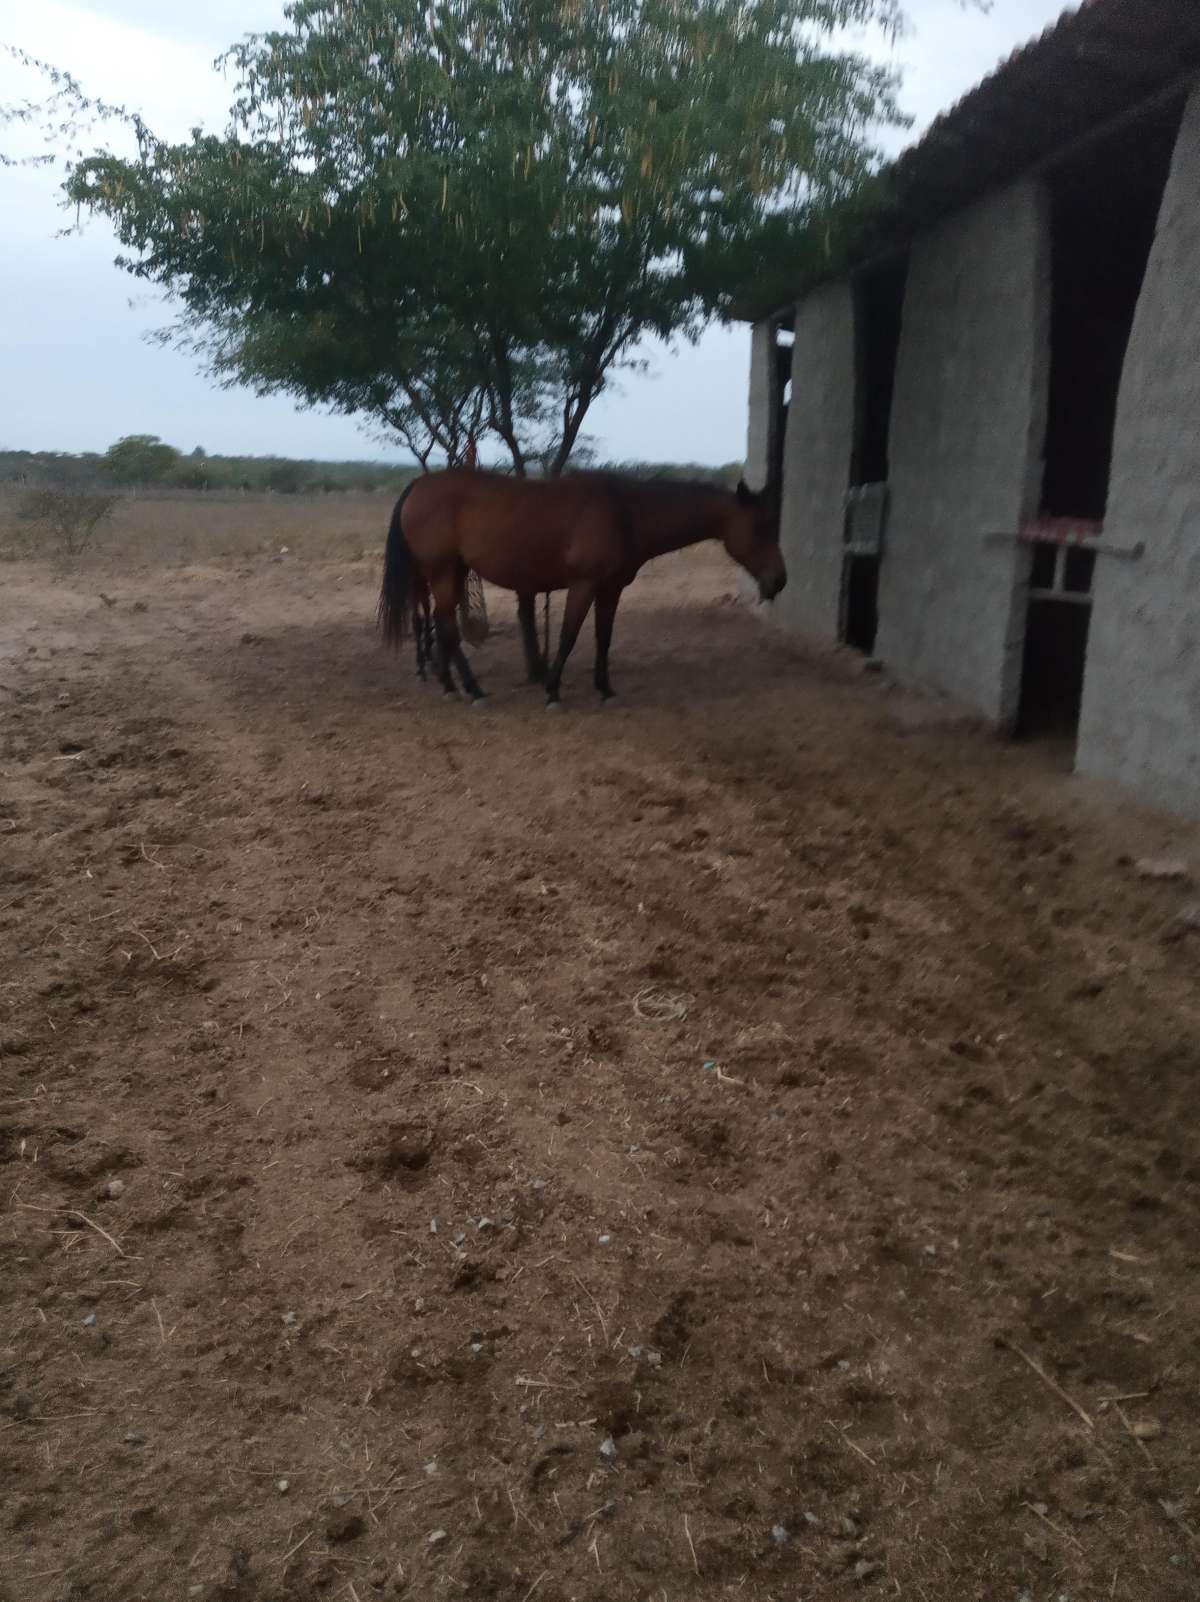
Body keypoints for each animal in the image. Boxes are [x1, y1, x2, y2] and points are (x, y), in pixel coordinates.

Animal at [376, 467, 785, 708]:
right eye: (760, 527)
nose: (779, 580)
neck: (625, 512)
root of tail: (419, 485)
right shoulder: (583, 584)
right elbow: (569, 635)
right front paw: (553, 691)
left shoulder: (611, 589)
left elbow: (603, 637)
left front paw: (604, 688)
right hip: (442, 571)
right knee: (445, 625)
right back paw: (472, 690)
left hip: (454, 571)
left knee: (441, 624)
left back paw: (449, 683)